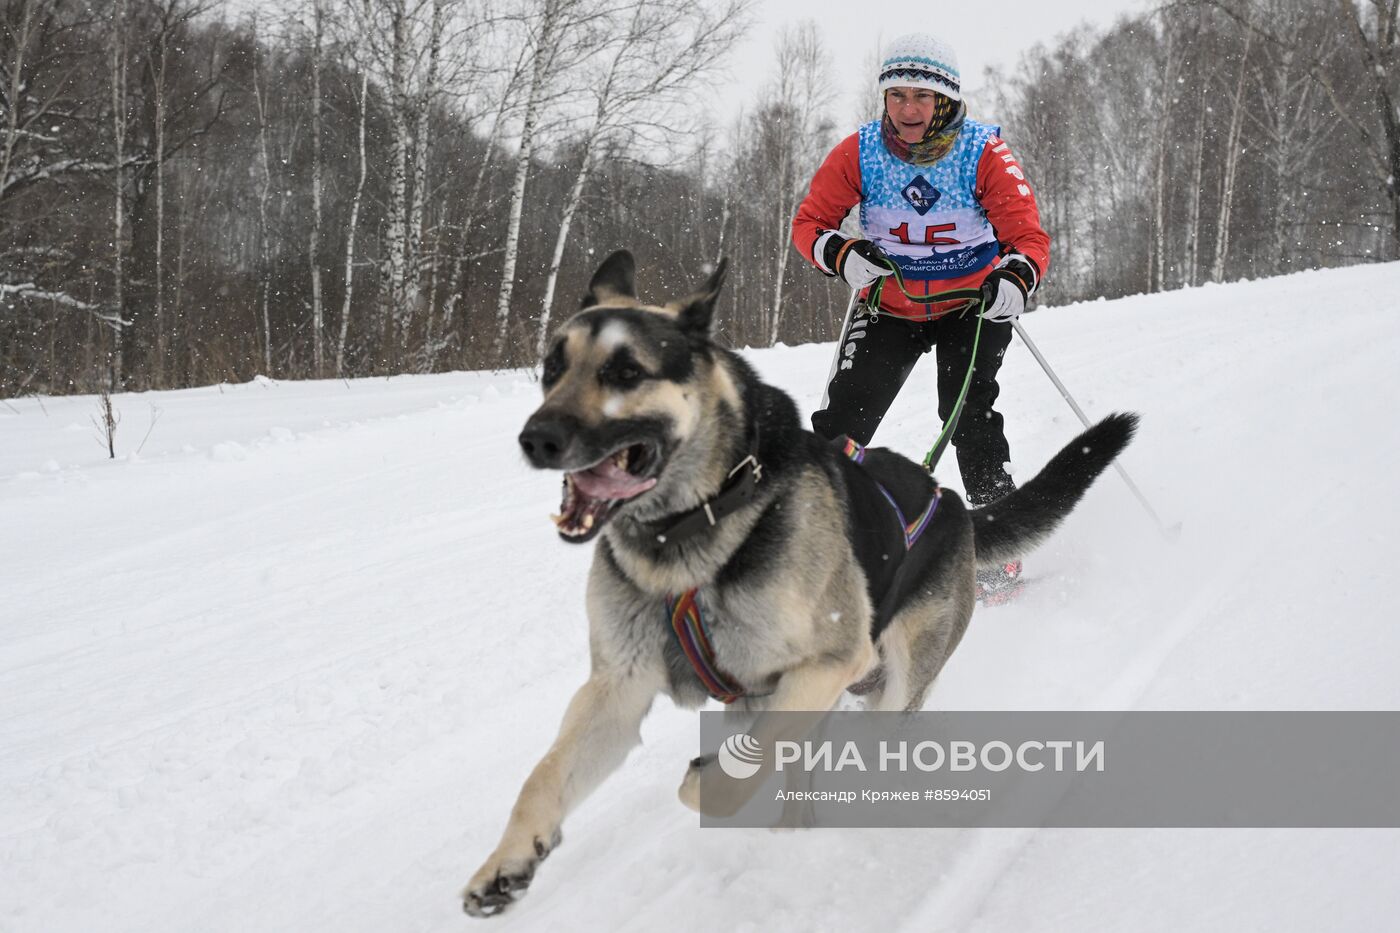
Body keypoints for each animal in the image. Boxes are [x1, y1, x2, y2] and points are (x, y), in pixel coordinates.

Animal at [464, 250, 1131, 913]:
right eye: (552, 367)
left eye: (626, 370)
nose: (537, 438)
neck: (691, 530)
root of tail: (952, 504)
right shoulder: (617, 689)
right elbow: (544, 776)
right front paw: (507, 861)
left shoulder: (824, 664)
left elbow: (740, 769)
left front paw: (706, 784)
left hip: (892, 685)